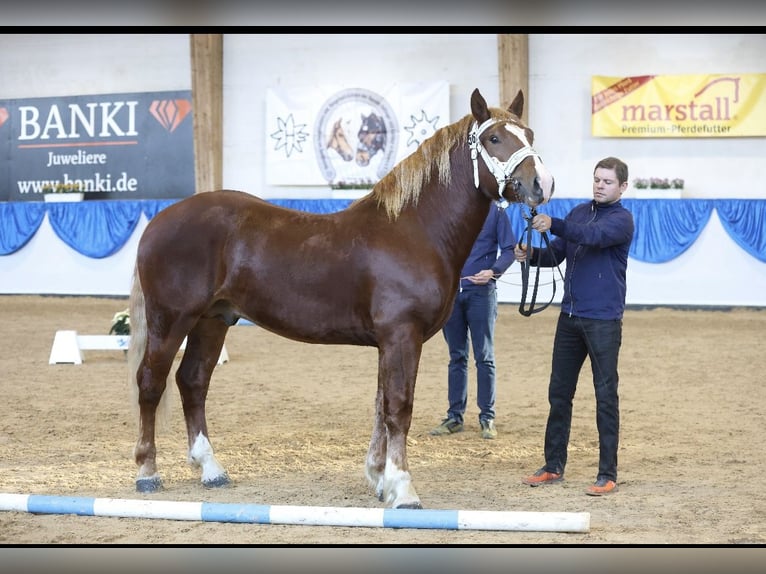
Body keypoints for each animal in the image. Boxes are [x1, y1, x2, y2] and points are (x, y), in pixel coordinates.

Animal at [129, 88, 556, 510]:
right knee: (151, 382)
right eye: (493, 138)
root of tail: (159, 220)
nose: (543, 184)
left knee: (192, 381)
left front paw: (380, 479)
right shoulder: (402, 336)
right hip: (172, 320)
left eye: (530, 134)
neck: (414, 230)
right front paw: (403, 490)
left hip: (212, 321)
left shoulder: (389, 342)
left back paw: (211, 469)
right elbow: (399, 407)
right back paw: (148, 473)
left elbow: (381, 407)